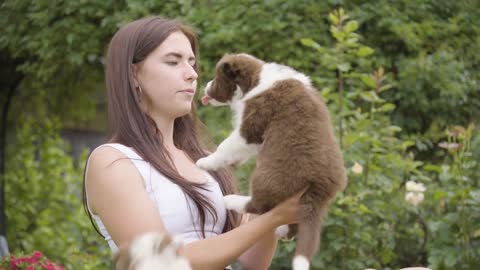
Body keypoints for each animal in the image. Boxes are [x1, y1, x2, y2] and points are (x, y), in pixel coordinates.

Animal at [197, 53, 346, 270]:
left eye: (217, 79)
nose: (205, 88)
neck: (257, 80)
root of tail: (319, 187)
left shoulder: (251, 128)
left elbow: (226, 146)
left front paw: (205, 162)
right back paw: (283, 230)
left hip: (267, 176)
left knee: (259, 205)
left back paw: (231, 200)